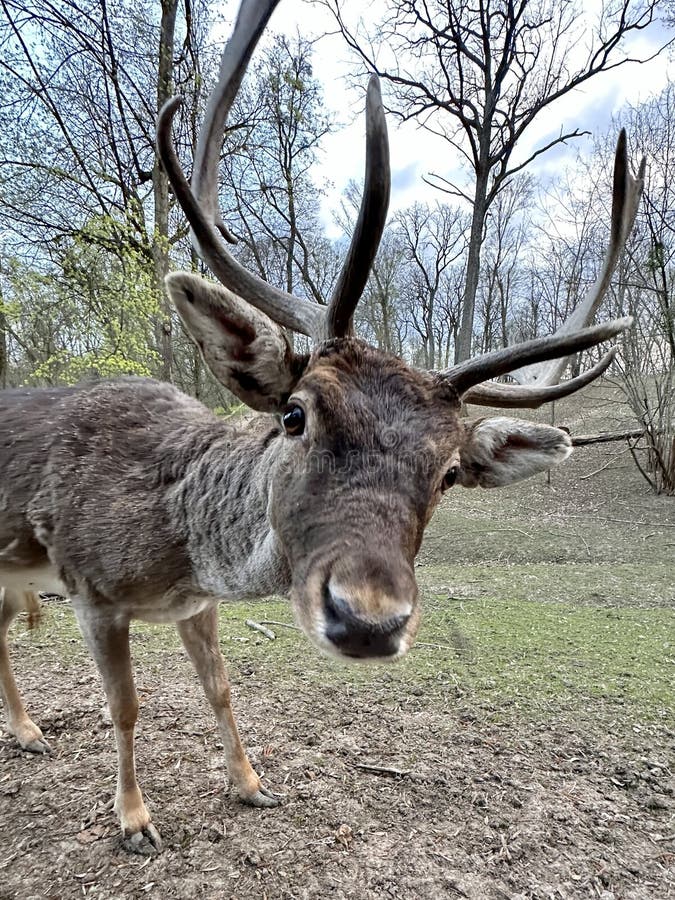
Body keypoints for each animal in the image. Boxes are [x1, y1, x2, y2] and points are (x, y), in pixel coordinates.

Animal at [0, 0, 644, 856]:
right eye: (296, 413)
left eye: (449, 471)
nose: (368, 620)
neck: (175, 551)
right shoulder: (88, 587)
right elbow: (125, 706)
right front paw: (134, 821)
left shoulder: (194, 605)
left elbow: (221, 689)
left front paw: (250, 784)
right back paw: (31, 732)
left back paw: (25, 730)